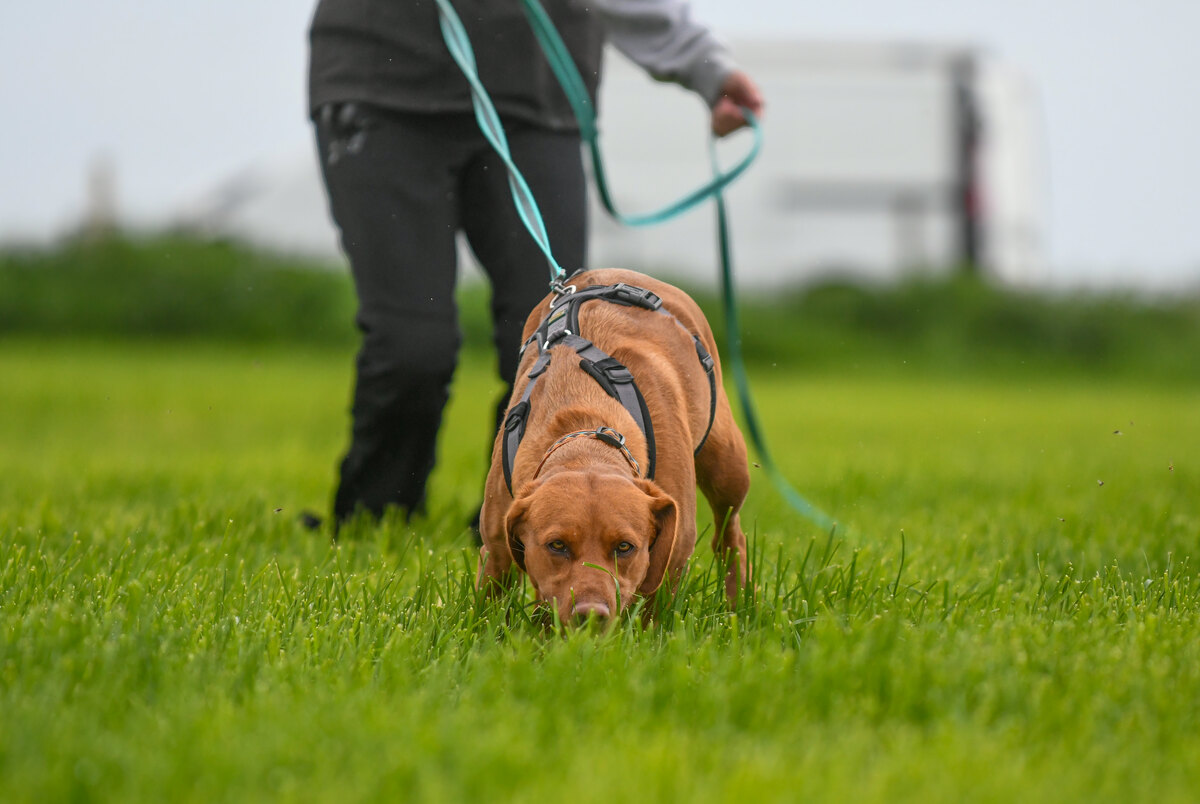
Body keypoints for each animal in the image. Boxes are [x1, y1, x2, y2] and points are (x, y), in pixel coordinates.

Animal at [477, 267, 748, 628]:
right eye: (557, 545)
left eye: (624, 547)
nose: (591, 615)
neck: (584, 422)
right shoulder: (496, 548)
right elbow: (491, 601)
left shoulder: (671, 554)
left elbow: (653, 607)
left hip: (726, 465)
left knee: (730, 535)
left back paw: (740, 604)